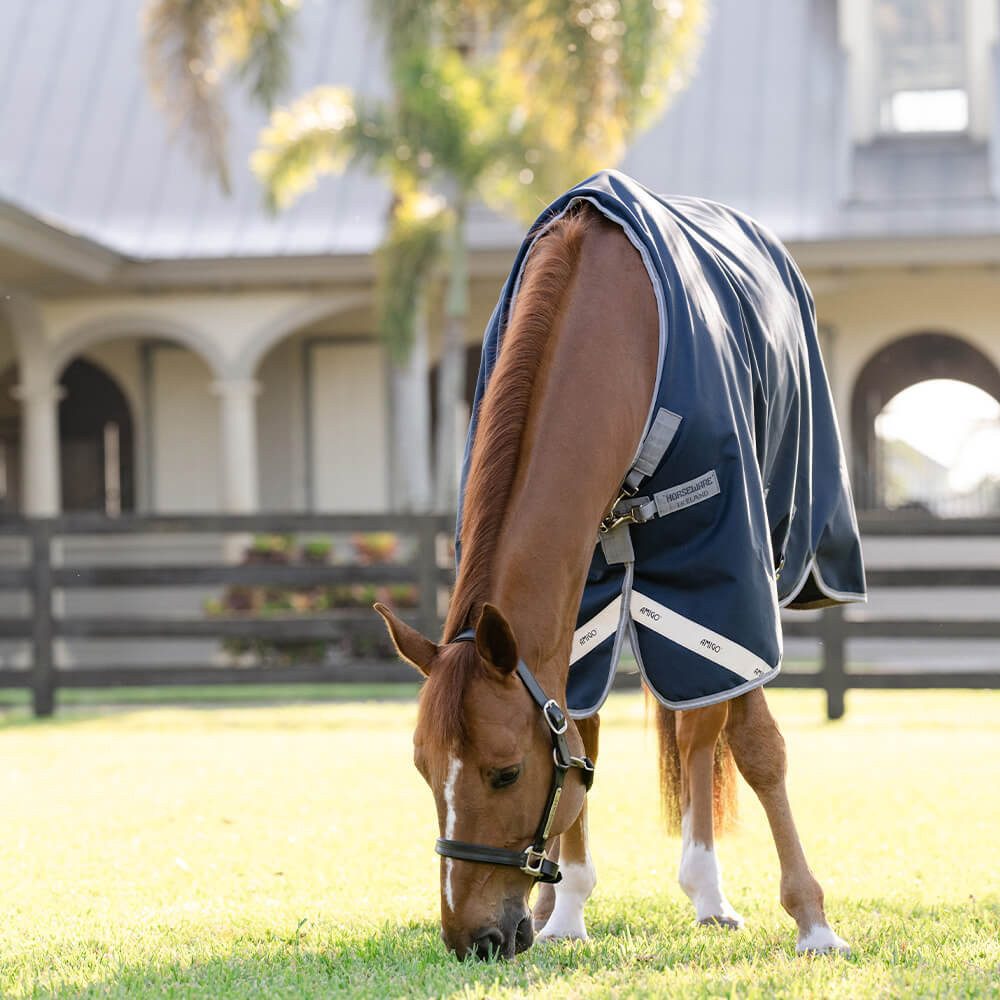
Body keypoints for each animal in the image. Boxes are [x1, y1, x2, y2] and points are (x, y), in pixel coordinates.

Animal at [376, 171, 860, 961]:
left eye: (505, 773)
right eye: (422, 770)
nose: (471, 938)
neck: (612, 329)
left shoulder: (727, 573)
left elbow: (756, 746)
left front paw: (813, 922)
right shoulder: (583, 600)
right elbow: (581, 729)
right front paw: (567, 910)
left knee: (702, 730)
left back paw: (708, 893)